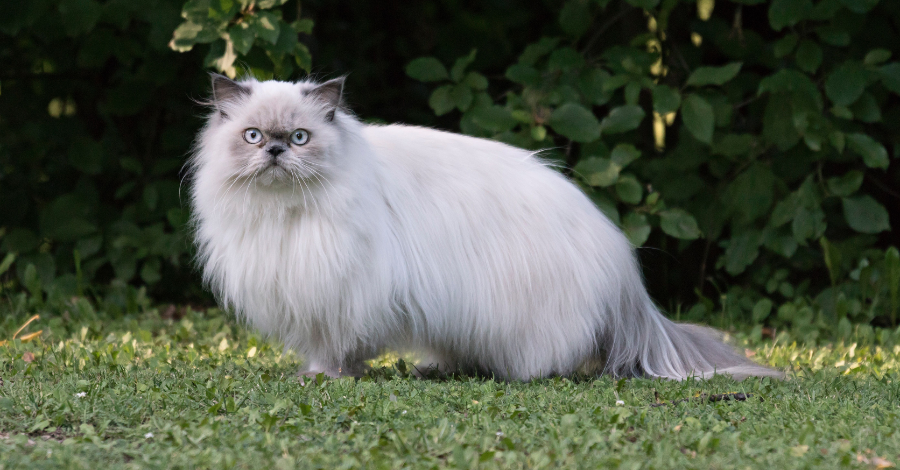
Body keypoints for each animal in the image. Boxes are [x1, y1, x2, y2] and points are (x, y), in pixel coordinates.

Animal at [188, 74, 780, 382]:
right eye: (253, 135)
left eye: (301, 138)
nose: (276, 150)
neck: (283, 215)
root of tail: (621, 266)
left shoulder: (343, 296)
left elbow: (335, 349)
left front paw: (322, 376)